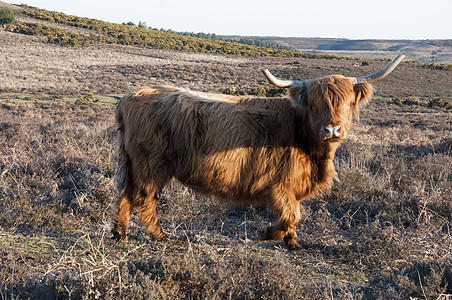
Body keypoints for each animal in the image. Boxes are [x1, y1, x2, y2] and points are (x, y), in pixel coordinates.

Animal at [113, 55, 406, 250]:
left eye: (345, 103)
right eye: (314, 104)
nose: (332, 129)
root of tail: (131, 95)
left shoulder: (293, 185)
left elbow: (295, 214)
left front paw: (293, 242)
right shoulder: (278, 184)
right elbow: (292, 214)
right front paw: (266, 234)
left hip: (135, 164)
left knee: (126, 195)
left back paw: (120, 235)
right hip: (152, 165)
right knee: (145, 198)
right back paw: (160, 237)